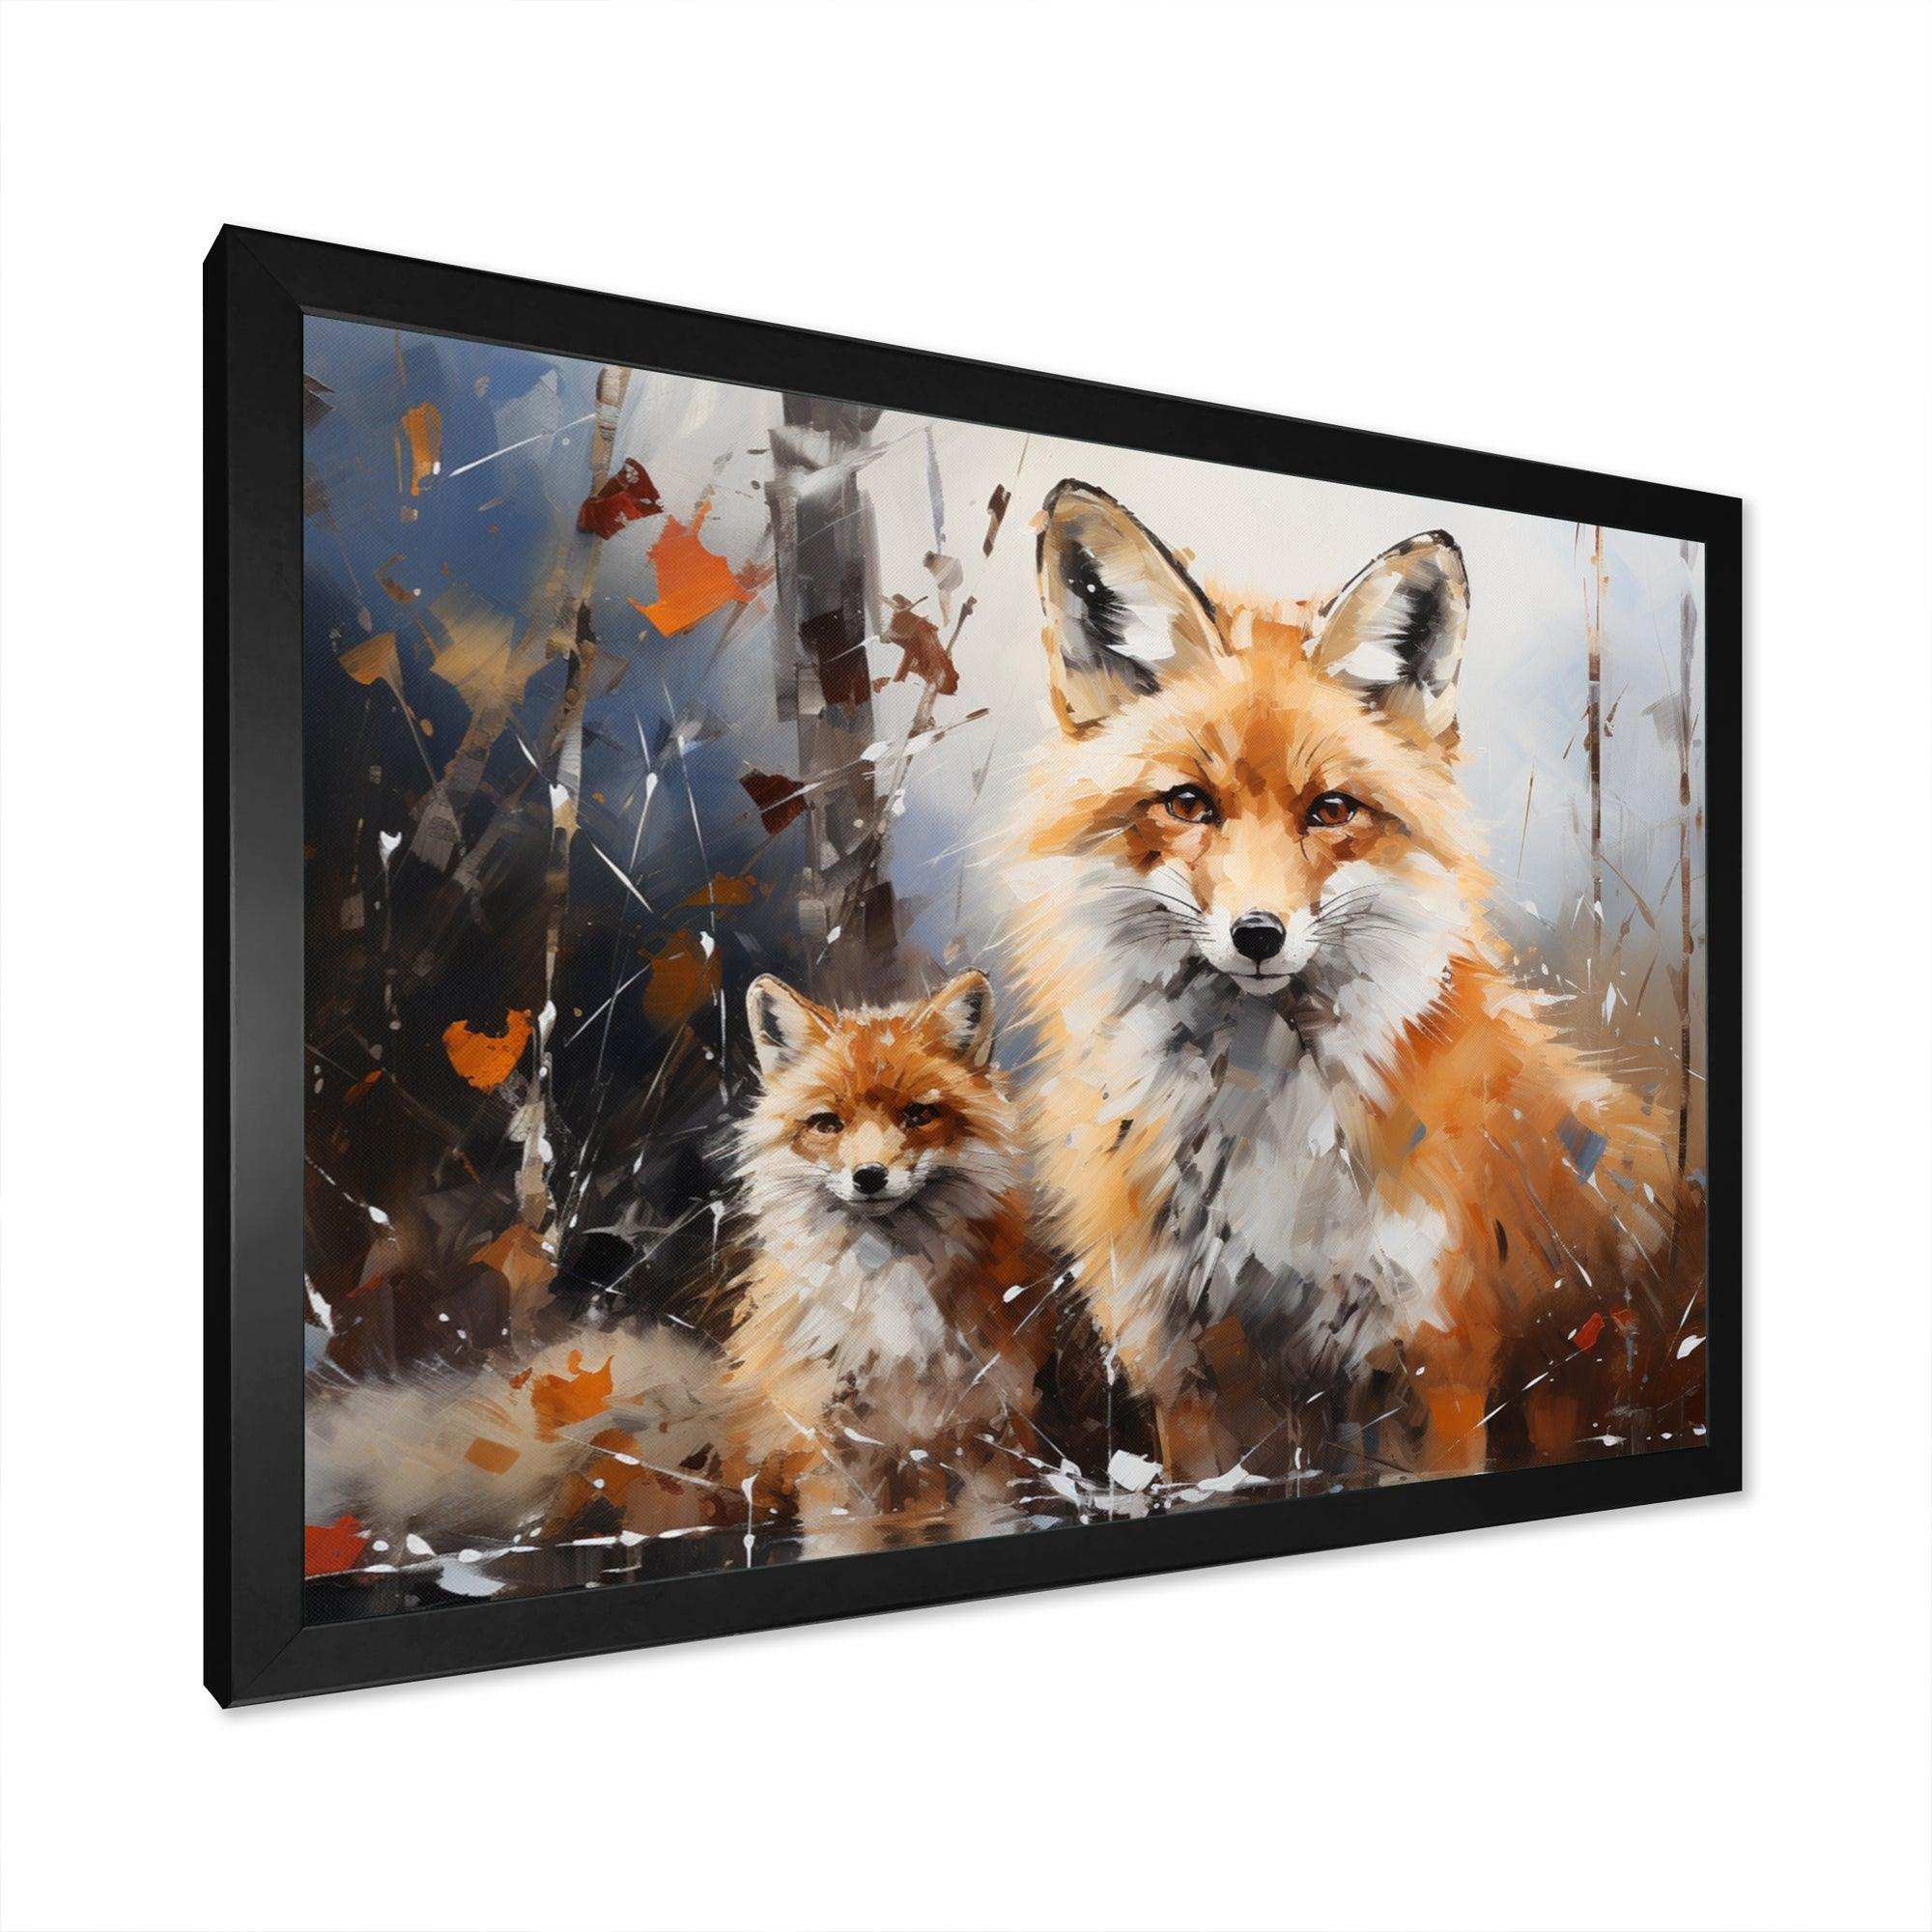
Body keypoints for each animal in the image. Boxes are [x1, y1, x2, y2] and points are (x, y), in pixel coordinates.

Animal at [1006, 479, 1680, 1485]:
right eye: (1187, 803)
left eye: (1330, 810)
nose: (1258, 934)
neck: (1257, 1136)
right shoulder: (1183, 1368)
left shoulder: (1434, 1359)